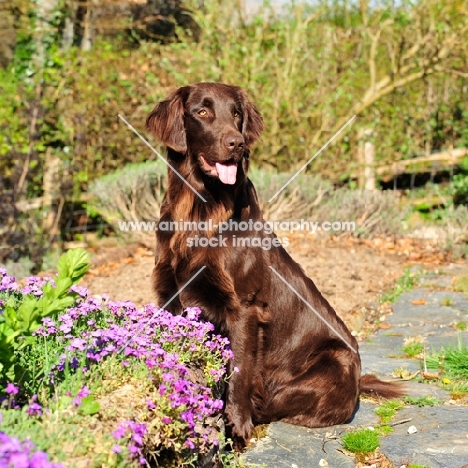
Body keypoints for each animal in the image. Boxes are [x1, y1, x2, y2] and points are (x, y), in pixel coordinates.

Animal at [146, 82, 402, 448]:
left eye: (236, 114)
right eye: (202, 112)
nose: (236, 143)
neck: (201, 211)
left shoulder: (245, 308)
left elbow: (239, 371)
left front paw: (236, 428)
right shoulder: (171, 295)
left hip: (332, 361)